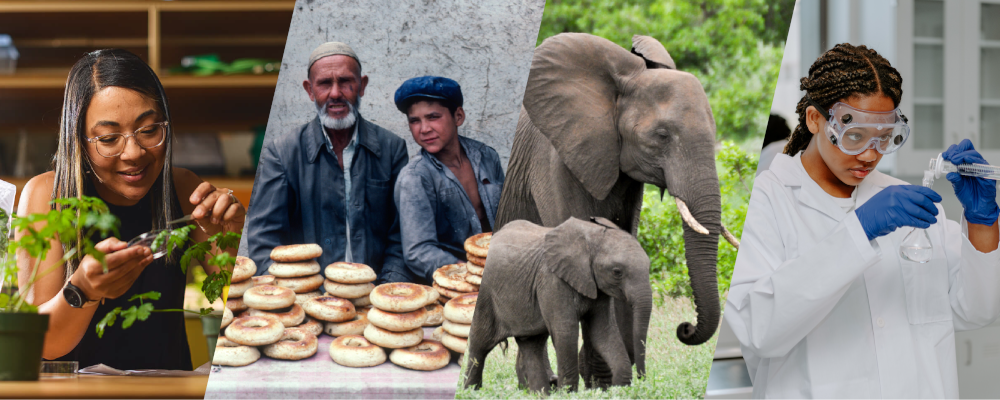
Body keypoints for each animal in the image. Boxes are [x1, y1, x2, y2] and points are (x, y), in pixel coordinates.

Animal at [462, 217, 652, 392]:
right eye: (617, 272)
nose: (642, 378)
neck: (592, 237)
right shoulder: (552, 280)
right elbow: (566, 332)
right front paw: (568, 393)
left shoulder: (597, 287)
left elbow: (603, 332)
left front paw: (619, 390)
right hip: (485, 299)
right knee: (480, 345)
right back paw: (471, 391)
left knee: (531, 344)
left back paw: (541, 393)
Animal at [492, 33, 736, 384]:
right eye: (662, 136)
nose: (685, 328)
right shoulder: (554, 160)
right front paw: (600, 379)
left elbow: (623, 238)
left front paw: (605, 381)